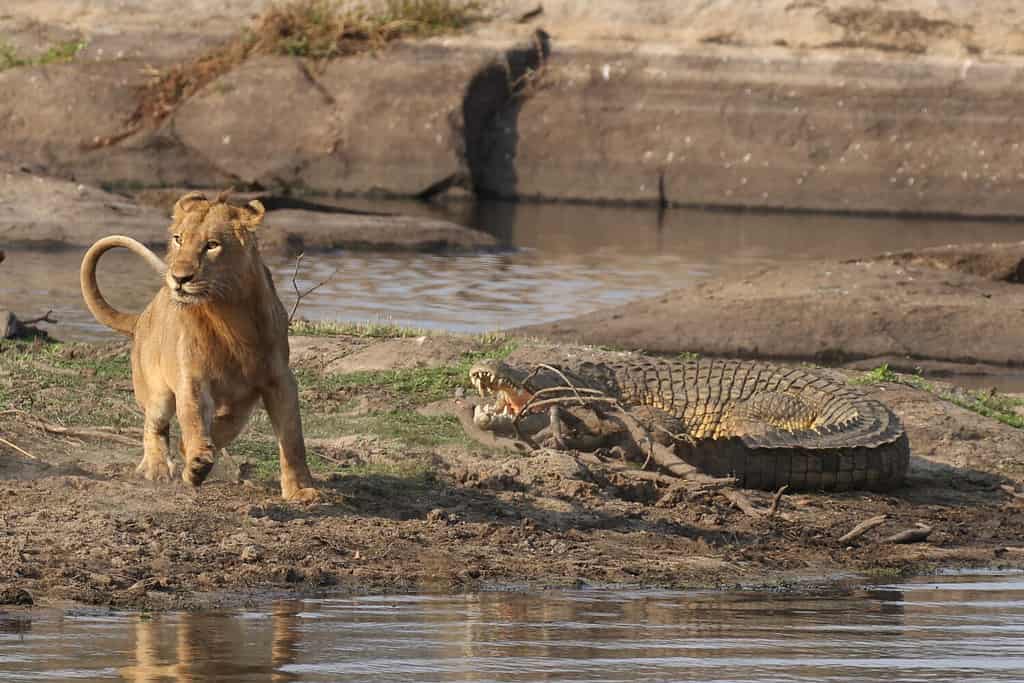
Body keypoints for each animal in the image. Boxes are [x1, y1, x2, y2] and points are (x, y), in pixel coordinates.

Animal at [80, 190, 318, 502]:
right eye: (178, 239)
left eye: (212, 245)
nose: (179, 278)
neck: (229, 315)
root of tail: (142, 317)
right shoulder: (191, 378)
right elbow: (193, 421)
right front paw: (196, 464)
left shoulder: (279, 380)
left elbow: (292, 438)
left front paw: (300, 489)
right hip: (157, 390)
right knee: (154, 425)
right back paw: (157, 467)